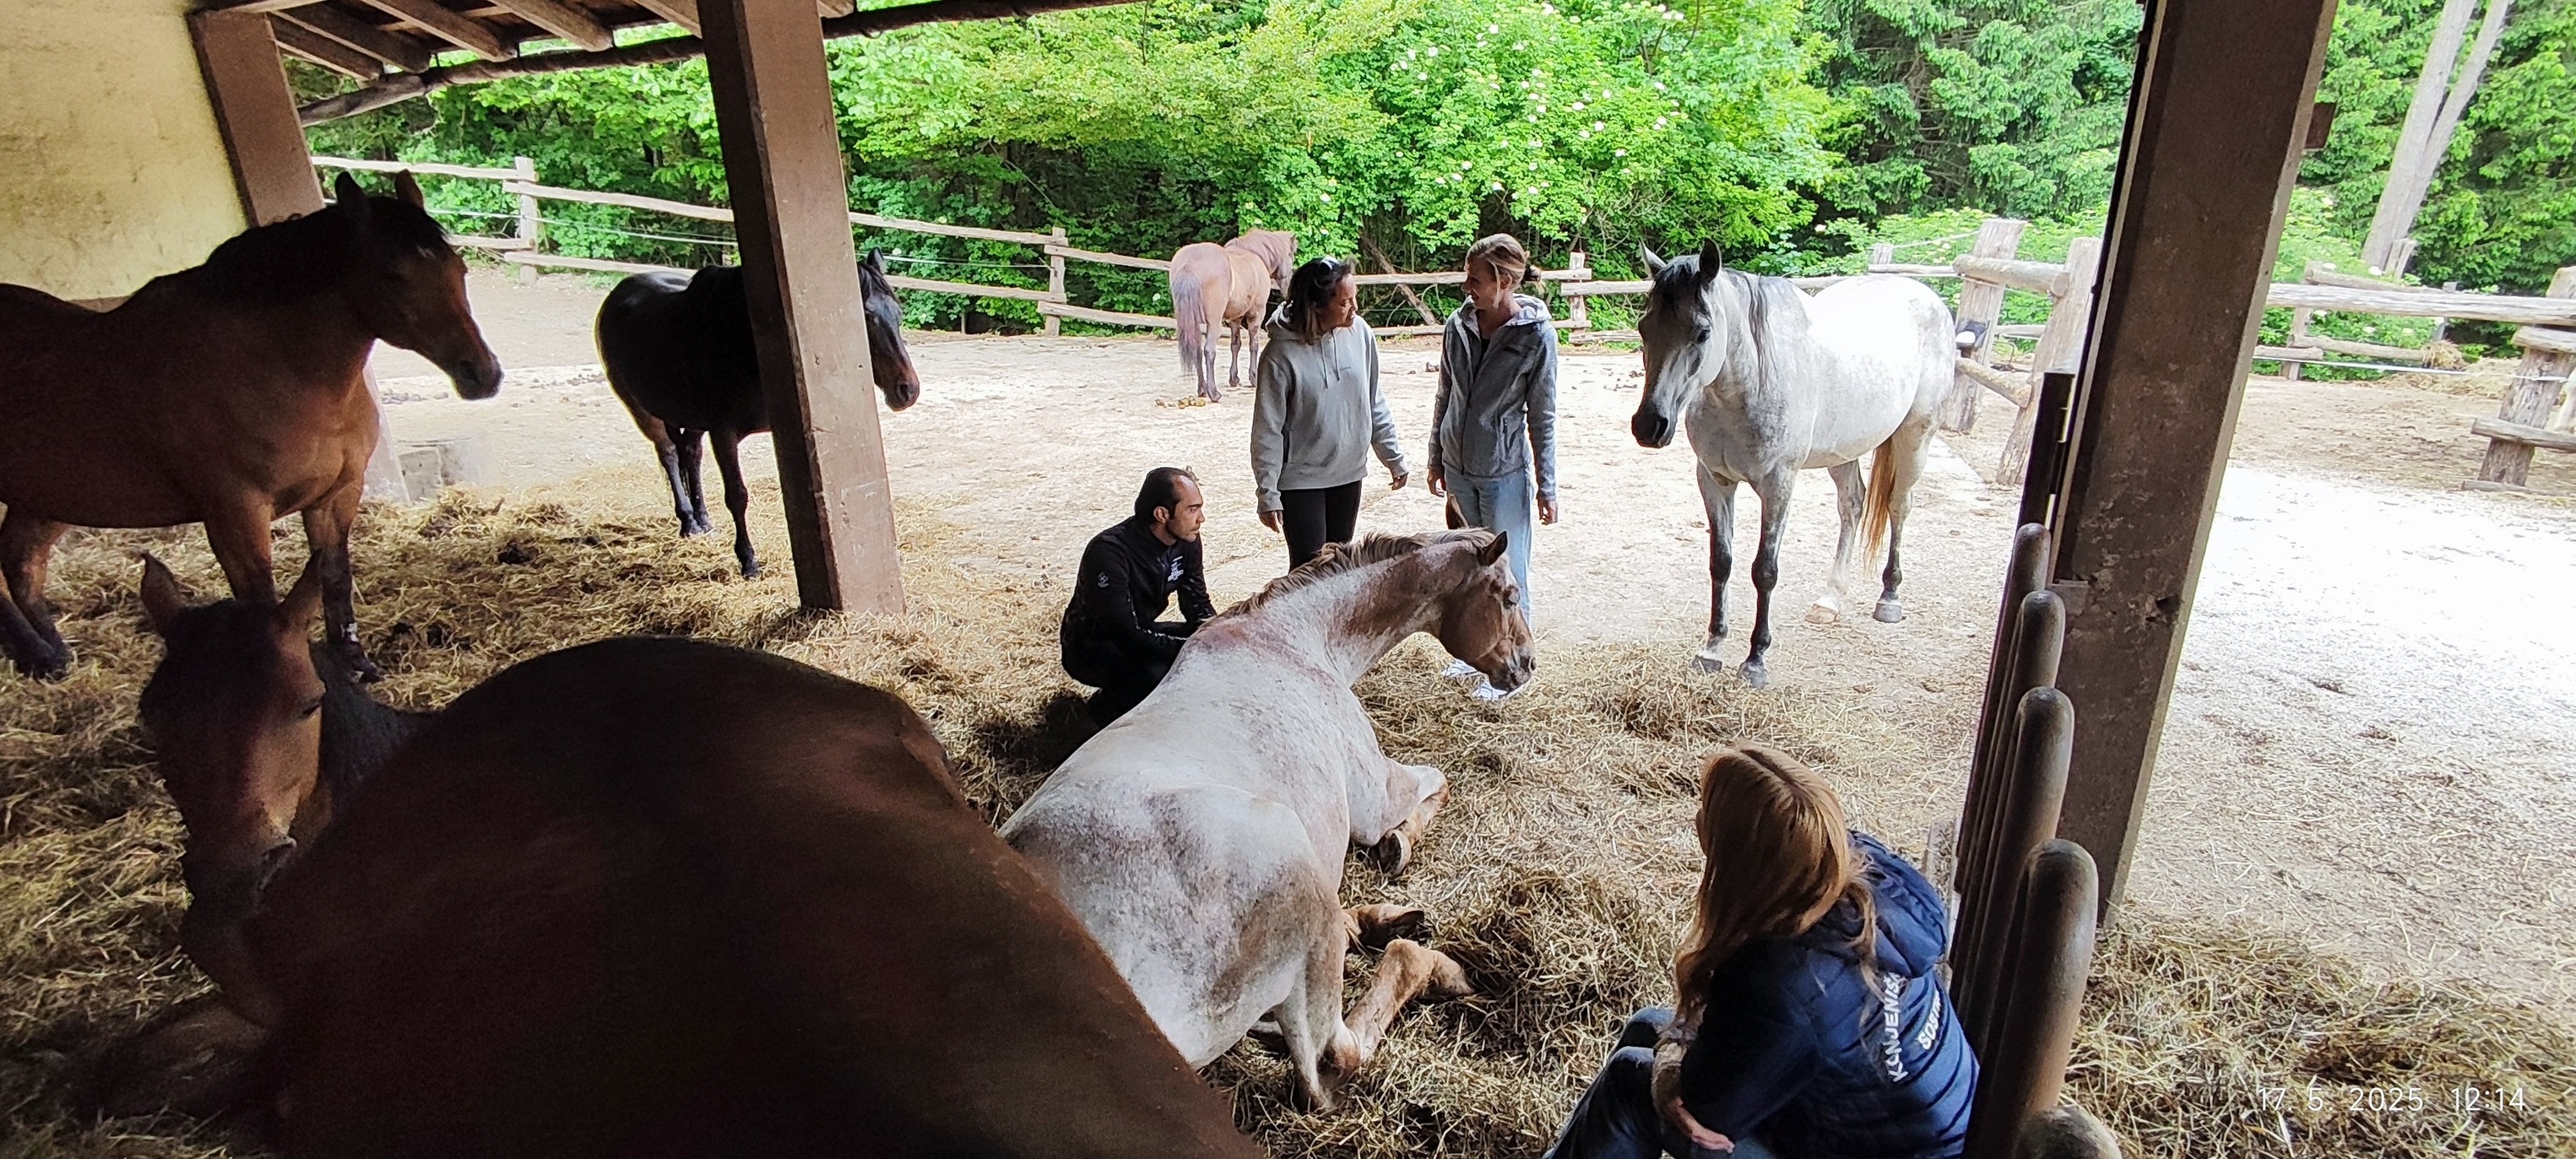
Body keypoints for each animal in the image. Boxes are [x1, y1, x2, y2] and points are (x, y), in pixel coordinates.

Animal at [0, 171, 500, 683]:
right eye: (393, 276)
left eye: (459, 269)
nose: (482, 374)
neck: (280, 368)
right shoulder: (236, 515)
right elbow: (262, 599)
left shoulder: (336, 494)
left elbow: (335, 577)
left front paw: (356, 665)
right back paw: (40, 656)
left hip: (47, 497)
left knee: (20, 563)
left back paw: (53, 655)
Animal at [594, 252, 920, 579]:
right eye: (866, 316)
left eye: (898, 313)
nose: (908, 390)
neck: (746, 341)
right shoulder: (723, 434)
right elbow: (737, 496)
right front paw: (748, 561)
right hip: (646, 414)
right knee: (670, 456)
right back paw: (688, 521)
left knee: (691, 454)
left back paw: (703, 520)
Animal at [1001, 529, 1532, 1110]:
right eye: (1508, 595)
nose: (1527, 665)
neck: (1294, 643)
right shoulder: (1377, 796)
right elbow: (1437, 783)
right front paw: (1400, 844)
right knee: (1341, 1051)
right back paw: (1434, 963)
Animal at [1168, 230, 1295, 402]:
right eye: (1291, 255)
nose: (1289, 288)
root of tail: (1189, 264)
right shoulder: (1256, 315)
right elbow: (1253, 345)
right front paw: (1254, 378)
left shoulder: (1235, 318)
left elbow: (1235, 345)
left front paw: (1234, 379)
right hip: (1213, 324)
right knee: (1209, 351)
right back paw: (1213, 392)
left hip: (1193, 323)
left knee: (1197, 351)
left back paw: (1202, 389)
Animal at [1629, 241, 1958, 689]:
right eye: (1644, 328)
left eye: (1702, 332)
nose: (1649, 426)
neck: (1751, 380)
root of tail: (1927, 296)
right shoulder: (1714, 480)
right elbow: (1721, 563)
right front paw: (1712, 648)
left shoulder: (1778, 485)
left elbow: (1764, 570)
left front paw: (1755, 661)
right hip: (1843, 452)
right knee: (1853, 506)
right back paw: (1830, 600)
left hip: (1914, 439)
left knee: (1898, 506)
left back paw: (1889, 598)